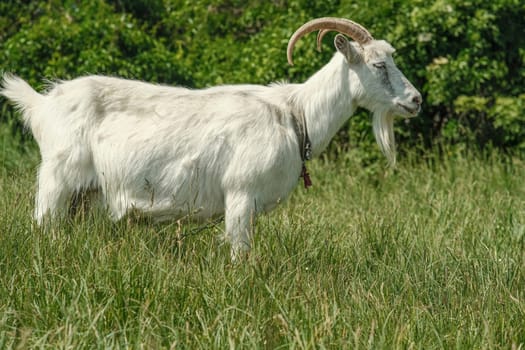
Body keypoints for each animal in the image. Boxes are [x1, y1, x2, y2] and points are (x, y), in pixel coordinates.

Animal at [1, 18, 422, 260]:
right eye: (378, 65)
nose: (416, 100)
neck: (294, 115)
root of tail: (42, 105)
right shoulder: (240, 194)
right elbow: (240, 254)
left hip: (84, 196)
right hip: (57, 180)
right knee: (44, 225)